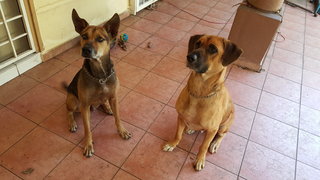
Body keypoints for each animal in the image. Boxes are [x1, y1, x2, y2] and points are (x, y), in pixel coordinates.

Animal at [65, 9, 132, 157]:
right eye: (84, 36)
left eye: (100, 39)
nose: (85, 50)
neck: (100, 75)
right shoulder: (84, 106)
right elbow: (87, 129)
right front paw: (88, 144)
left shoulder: (114, 98)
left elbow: (118, 117)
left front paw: (122, 131)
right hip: (73, 101)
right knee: (69, 111)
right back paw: (72, 123)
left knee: (103, 101)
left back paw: (106, 107)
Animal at [164, 34, 241, 170]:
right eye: (197, 43)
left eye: (213, 49)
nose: (189, 57)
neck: (199, 94)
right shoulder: (181, 117)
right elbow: (178, 134)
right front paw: (172, 144)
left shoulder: (212, 130)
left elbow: (203, 146)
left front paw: (200, 160)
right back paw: (191, 129)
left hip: (224, 125)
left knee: (222, 135)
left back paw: (215, 144)